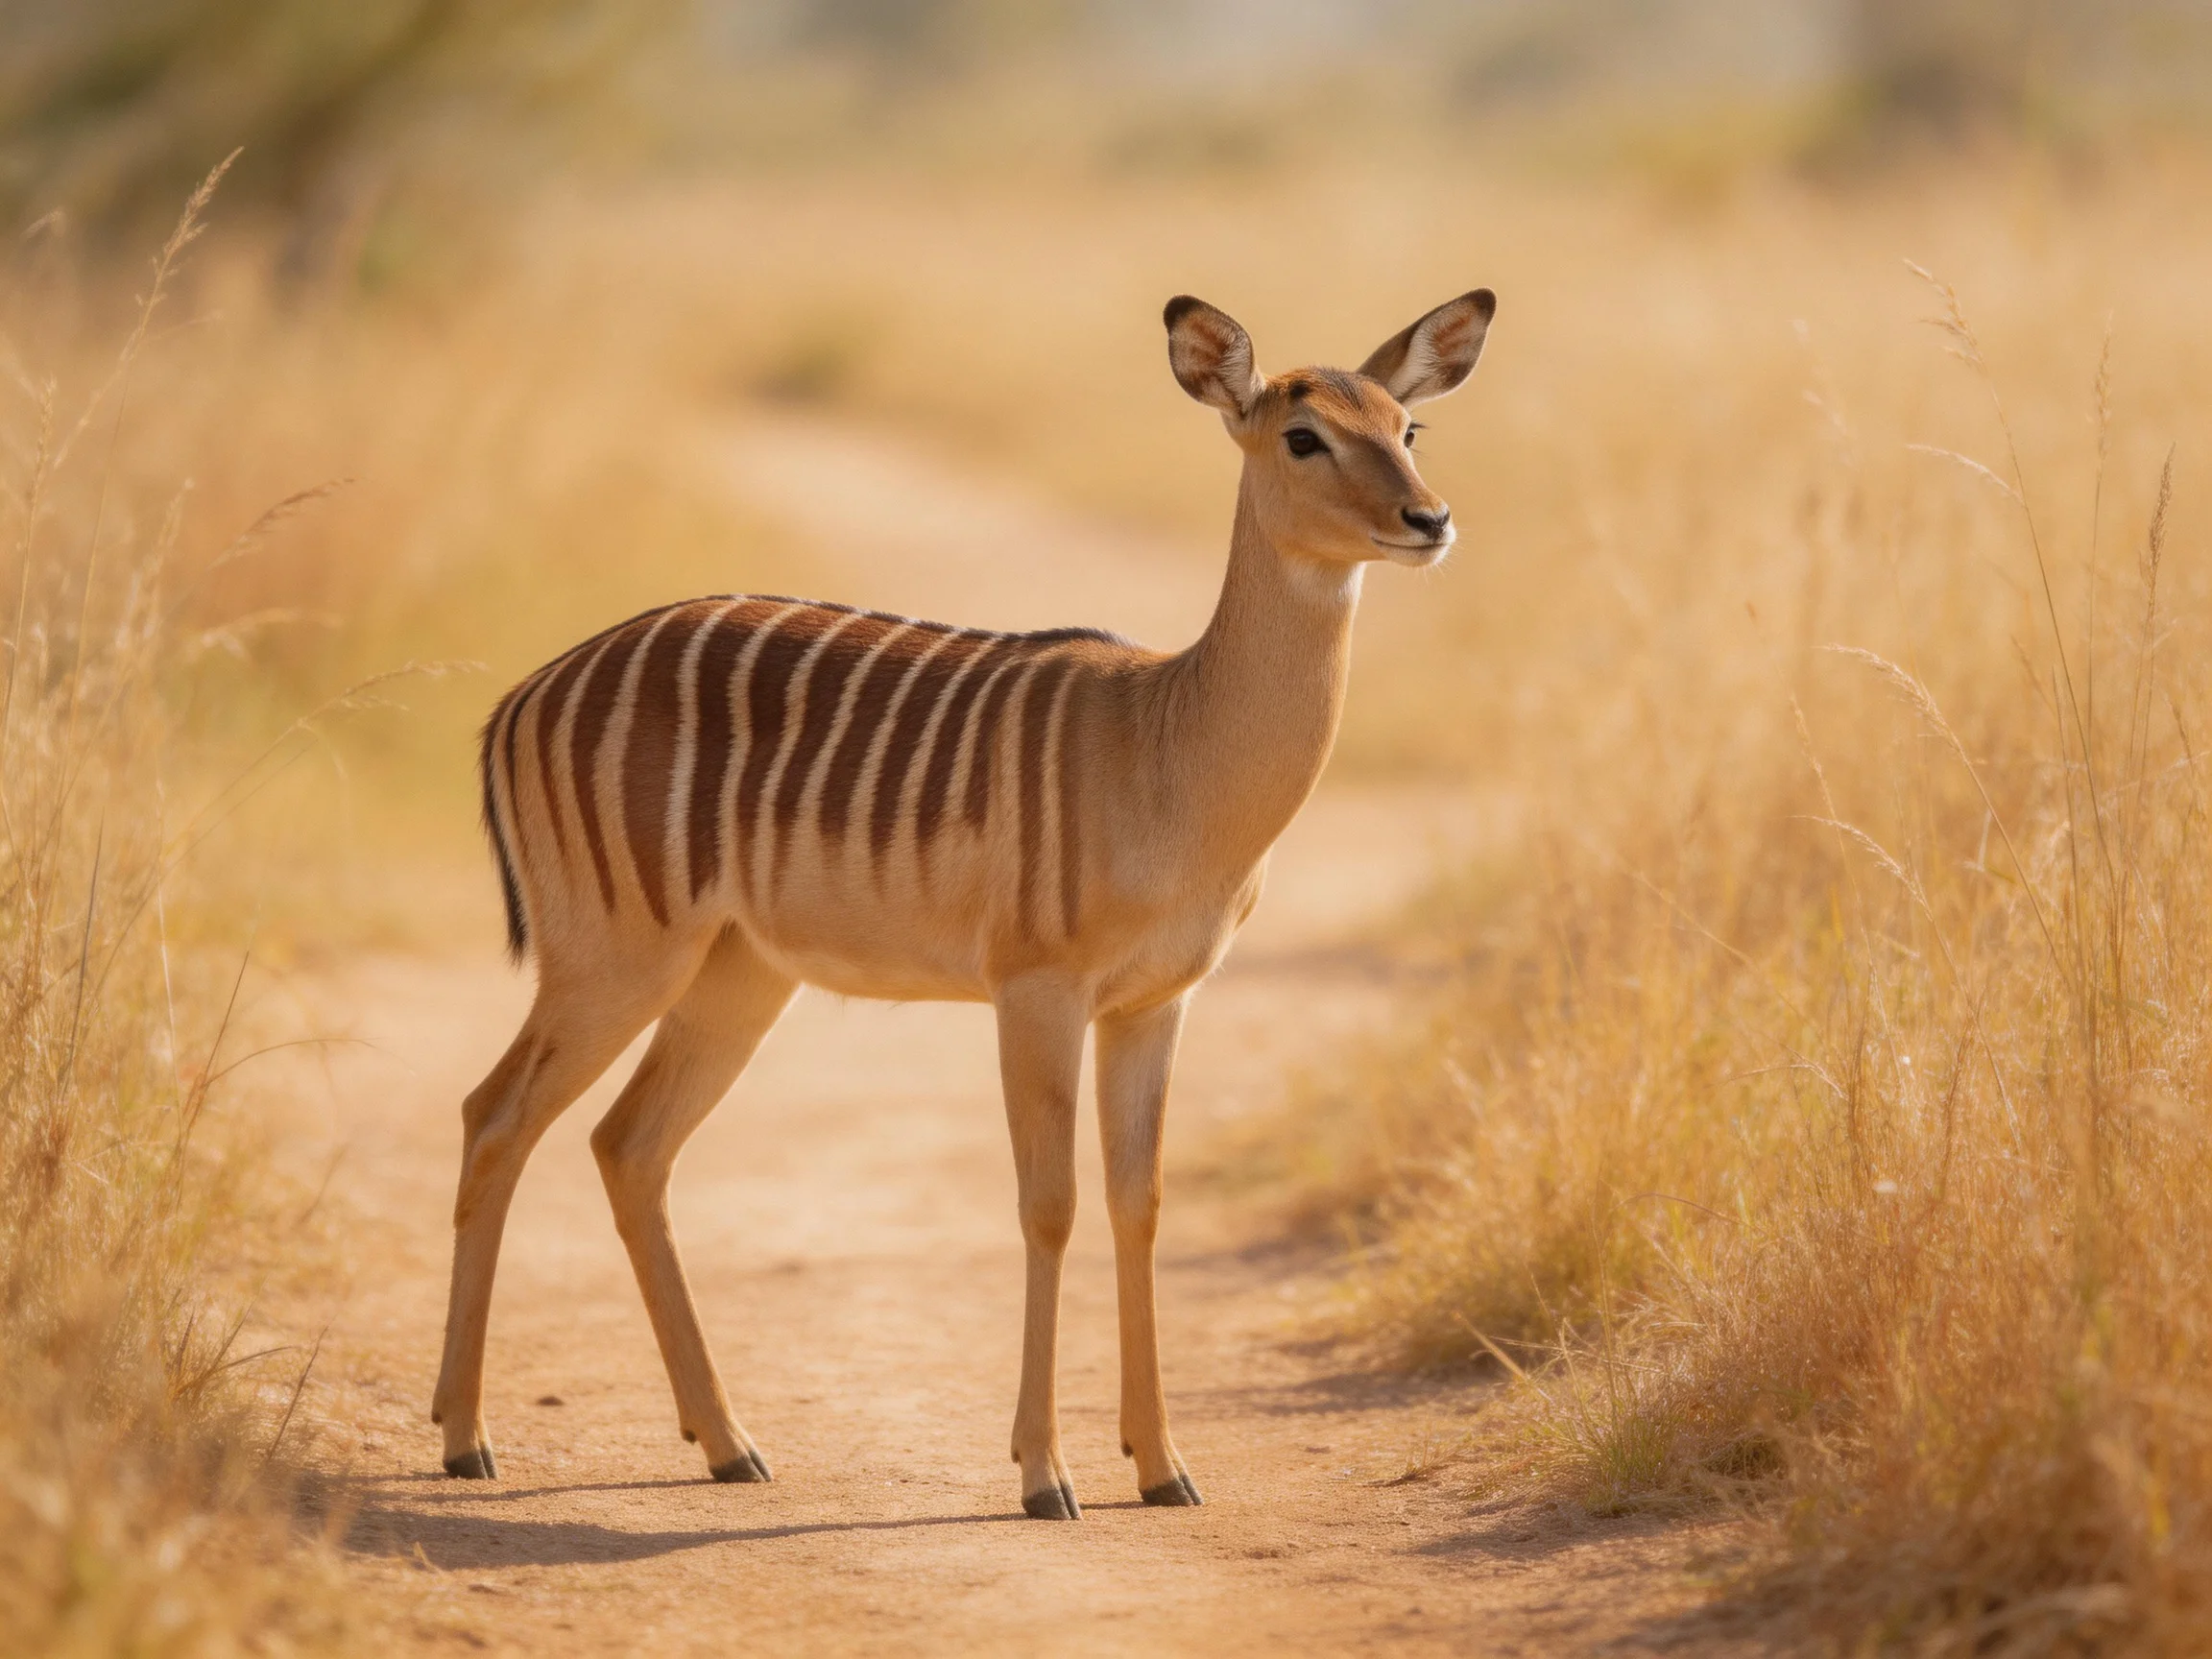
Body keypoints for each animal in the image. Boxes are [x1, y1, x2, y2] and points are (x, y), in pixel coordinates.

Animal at [432, 288, 1495, 1517]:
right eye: (1304, 434)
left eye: (1407, 426)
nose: (1429, 519)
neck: (1166, 744)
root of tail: (520, 697)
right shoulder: (1037, 993)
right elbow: (1050, 1204)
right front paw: (1045, 1476)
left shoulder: (1155, 1006)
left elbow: (1140, 1203)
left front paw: (1164, 1467)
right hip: (612, 963)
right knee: (496, 1116)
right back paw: (465, 1439)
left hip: (737, 980)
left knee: (627, 1146)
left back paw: (730, 1444)